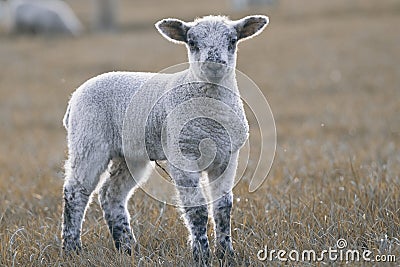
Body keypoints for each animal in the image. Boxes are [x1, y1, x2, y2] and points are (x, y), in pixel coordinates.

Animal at [61, 14, 268, 264]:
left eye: (233, 40)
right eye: (192, 42)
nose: (214, 63)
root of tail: (74, 98)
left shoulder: (227, 156)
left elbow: (223, 207)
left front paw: (226, 254)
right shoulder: (182, 154)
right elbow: (197, 209)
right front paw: (202, 255)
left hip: (129, 154)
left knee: (111, 194)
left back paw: (127, 247)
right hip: (88, 140)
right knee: (76, 191)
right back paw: (72, 249)